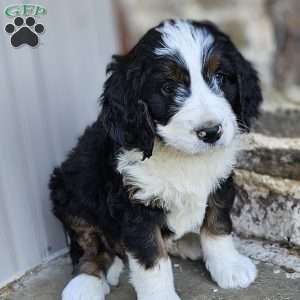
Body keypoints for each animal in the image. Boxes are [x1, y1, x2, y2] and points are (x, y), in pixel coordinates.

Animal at [49, 18, 262, 300]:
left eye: (220, 77)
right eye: (168, 88)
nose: (211, 132)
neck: (181, 156)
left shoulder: (220, 181)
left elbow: (217, 224)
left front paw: (229, 267)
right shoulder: (135, 206)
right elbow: (151, 258)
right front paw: (160, 295)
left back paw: (189, 243)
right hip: (70, 190)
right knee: (88, 246)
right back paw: (85, 283)